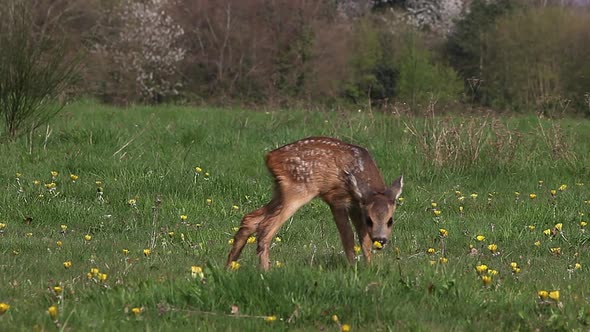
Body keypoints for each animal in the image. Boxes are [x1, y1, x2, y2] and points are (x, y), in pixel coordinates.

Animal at [225, 136, 402, 270]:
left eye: (390, 220)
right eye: (369, 220)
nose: (380, 240)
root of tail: (270, 157)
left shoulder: (355, 205)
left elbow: (363, 239)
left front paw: (370, 267)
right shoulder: (335, 198)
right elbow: (348, 237)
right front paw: (353, 267)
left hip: (279, 191)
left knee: (250, 219)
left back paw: (229, 267)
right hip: (297, 190)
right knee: (266, 227)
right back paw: (265, 271)